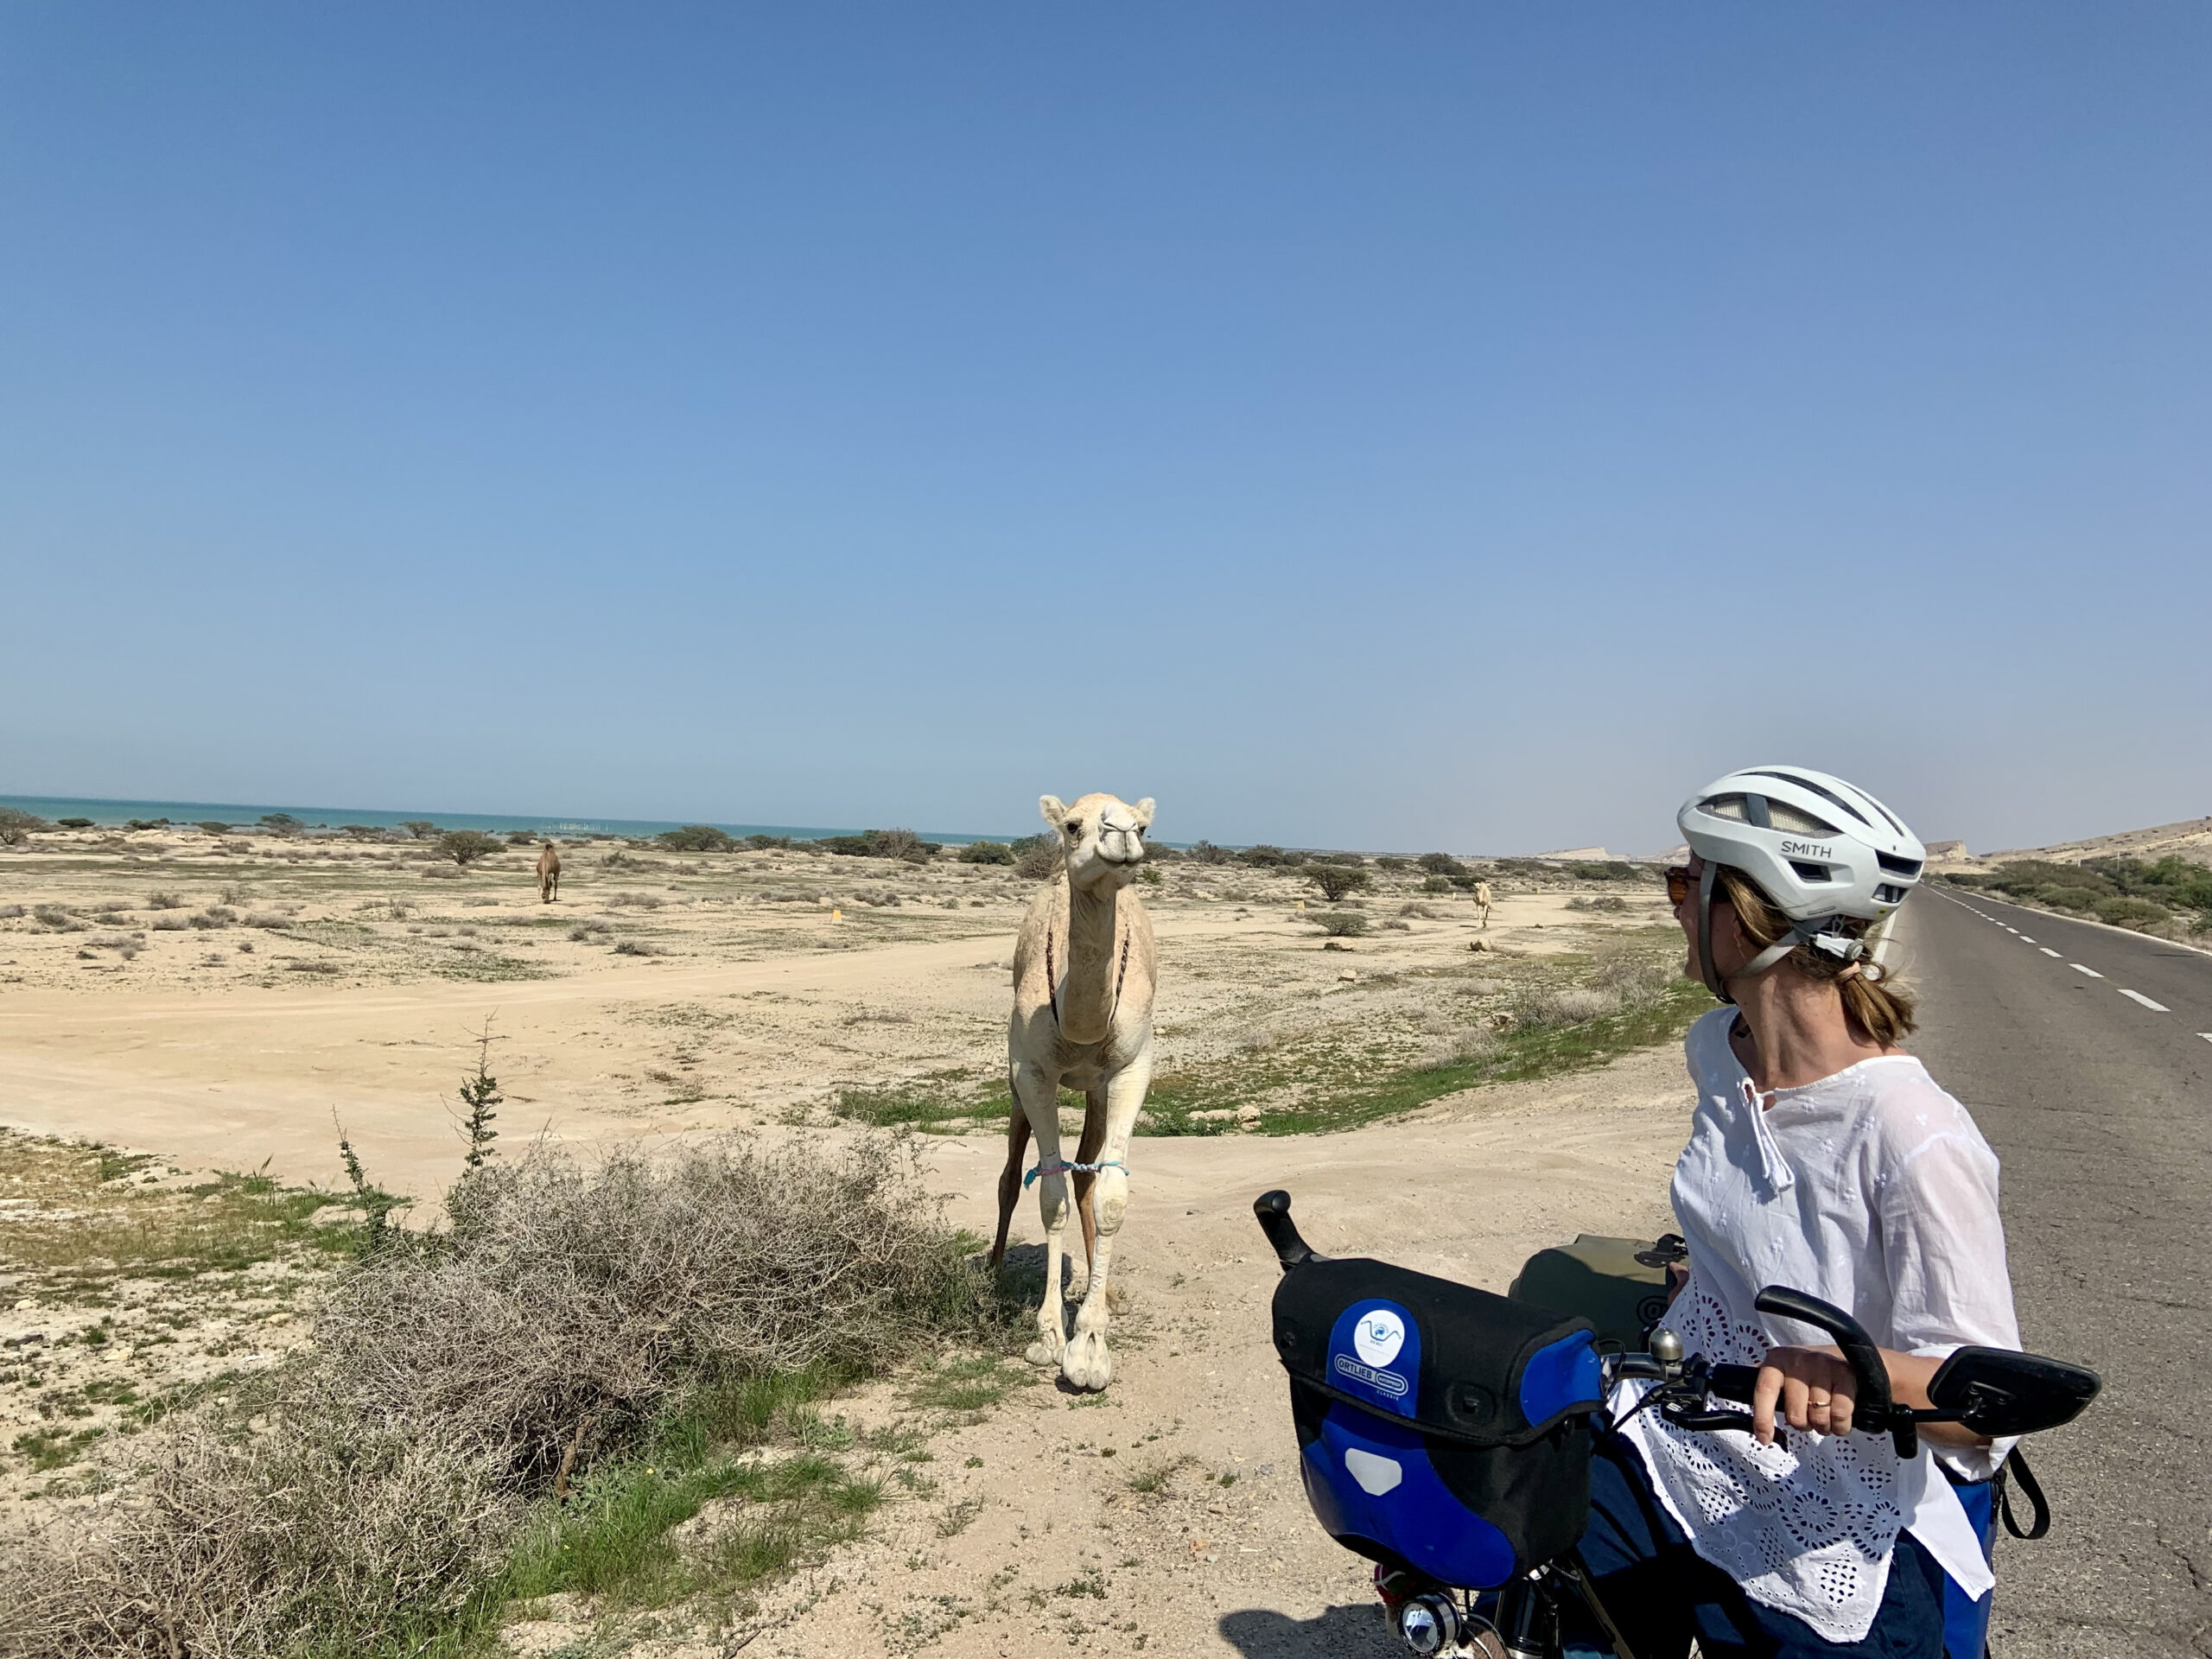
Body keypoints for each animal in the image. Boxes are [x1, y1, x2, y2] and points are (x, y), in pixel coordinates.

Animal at [986, 791, 1159, 1389]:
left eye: (1145, 825)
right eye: (1072, 826)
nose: (1122, 833)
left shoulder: (1131, 1069)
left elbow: (1110, 1195)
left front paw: (1090, 1344)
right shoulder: (1033, 1072)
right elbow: (1050, 1196)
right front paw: (1048, 1336)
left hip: (1096, 1092)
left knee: (1088, 1174)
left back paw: (1097, 1289)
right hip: (1016, 1086)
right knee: (1010, 1177)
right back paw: (994, 1271)